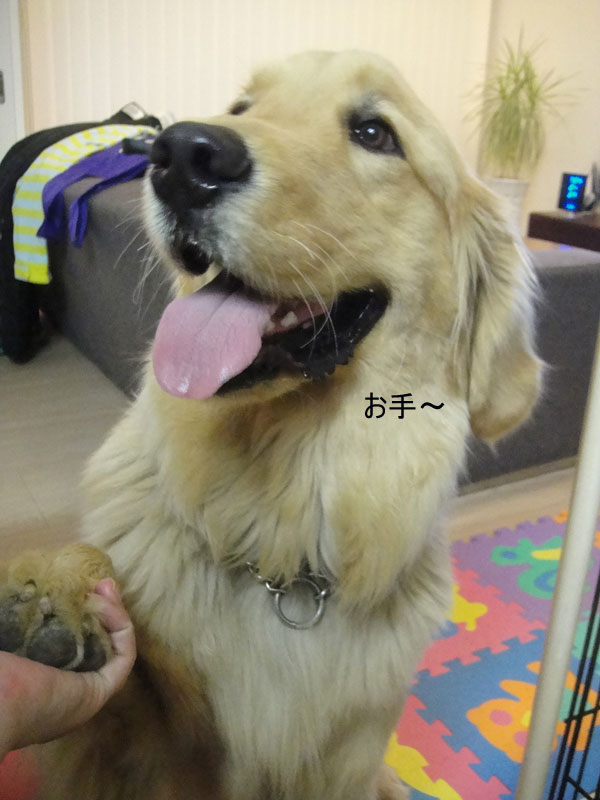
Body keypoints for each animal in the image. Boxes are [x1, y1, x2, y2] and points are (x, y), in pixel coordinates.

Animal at [0, 50, 540, 799]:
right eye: (242, 109)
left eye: (374, 133)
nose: (182, 154)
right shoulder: (143, 746)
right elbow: (112, 656)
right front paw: (53, 591)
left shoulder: (345, 763)